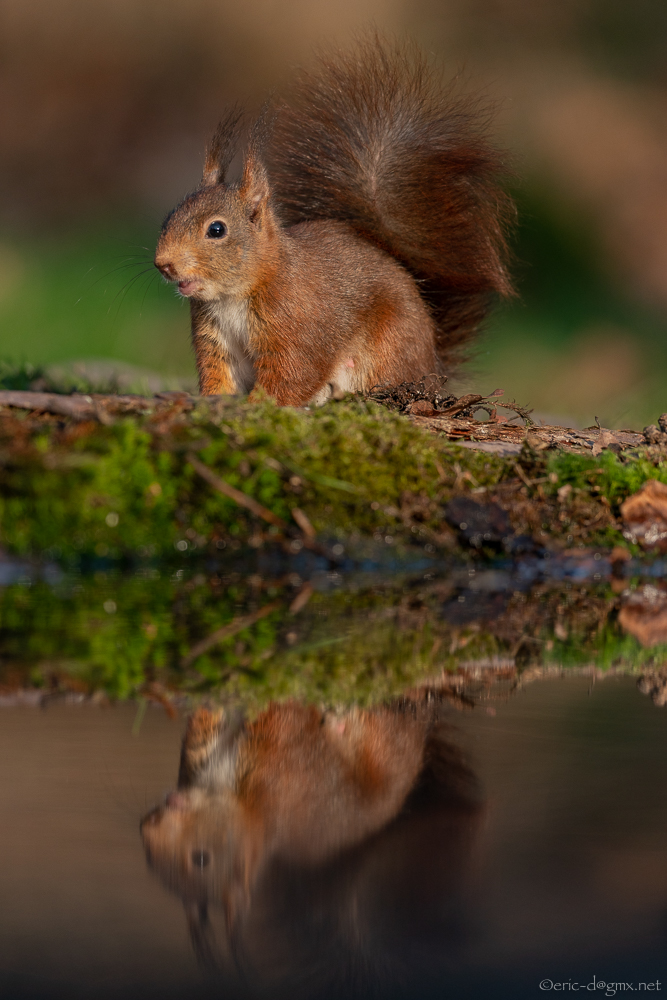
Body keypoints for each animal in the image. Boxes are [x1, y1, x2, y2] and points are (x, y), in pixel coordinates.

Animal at [155, 36, 512, 402]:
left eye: (216, 229)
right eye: (170, 216)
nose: (163, 264)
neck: (234, 295)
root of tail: (434, 370)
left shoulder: (296, 330)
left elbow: (290, 376)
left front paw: (256, 405)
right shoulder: (214, 340)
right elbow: (218, 377)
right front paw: (209, 401)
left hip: (389, 349)